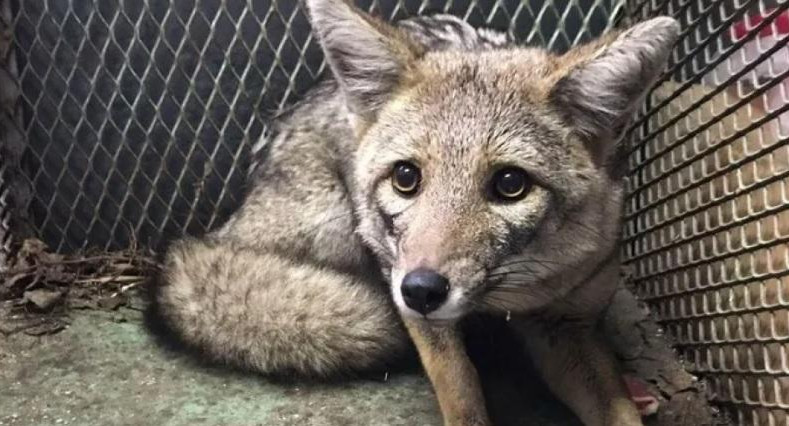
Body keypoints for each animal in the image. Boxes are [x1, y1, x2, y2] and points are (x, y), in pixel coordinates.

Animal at [151, 1, 680, 424]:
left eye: (510, 185)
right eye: (406, 177)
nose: (421, 289)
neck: (514, 293)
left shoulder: (567, 325)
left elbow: (616, 409)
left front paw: (628, 399)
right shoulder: (420, 308)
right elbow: (461, 391)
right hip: (342, 227)